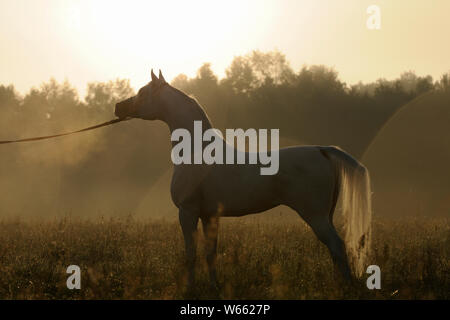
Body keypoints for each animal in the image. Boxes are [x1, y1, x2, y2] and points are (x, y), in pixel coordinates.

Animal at [116, 71, 372, 292]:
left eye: (142, 92)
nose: (119, 107)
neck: (196, 151)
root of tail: (322, 150)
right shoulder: (209, 215)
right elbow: (210, 253)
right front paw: (214, 287)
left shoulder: (187, 212)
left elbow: (191, 254)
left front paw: (189, 288)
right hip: (325, 215)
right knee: (335, 249)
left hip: (315, 216)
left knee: (337, 245)